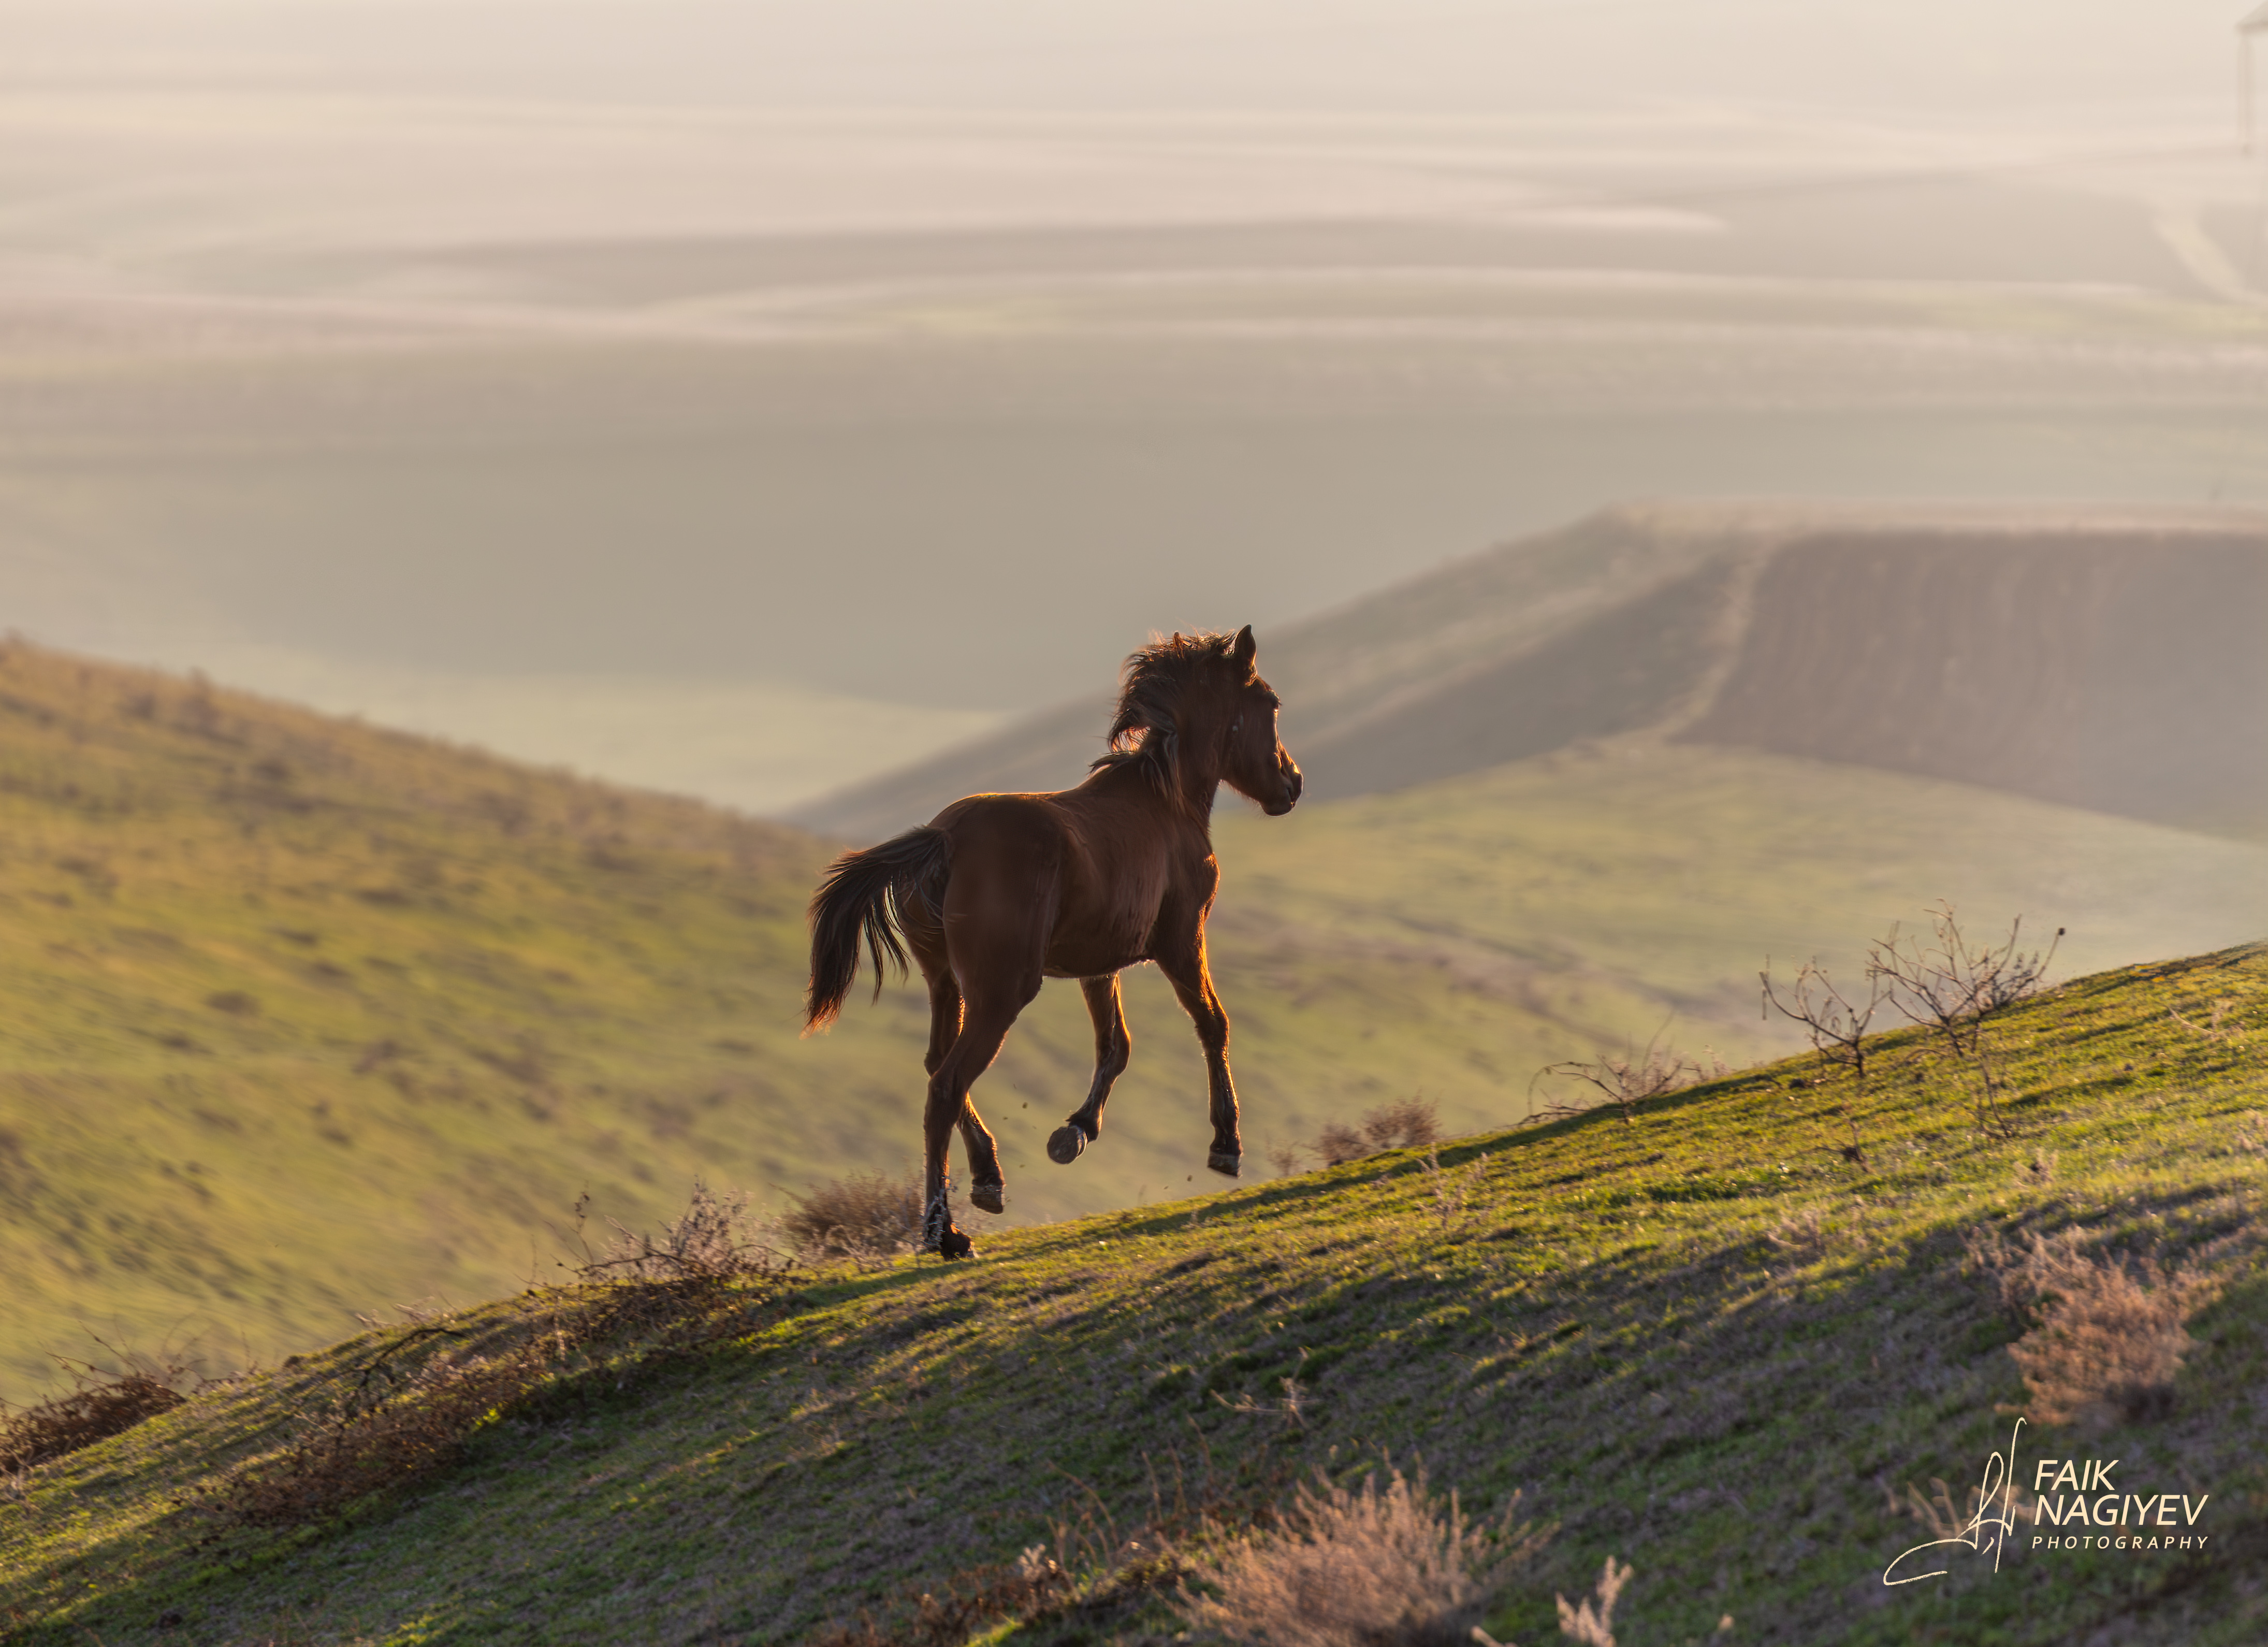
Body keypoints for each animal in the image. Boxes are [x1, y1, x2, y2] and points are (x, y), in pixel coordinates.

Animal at [803, 626, 1306, 1261]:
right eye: (1270, 702)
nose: (1293, 783)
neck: (1166, 803)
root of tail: (944, 837)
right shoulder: (1182, 941)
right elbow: (1212, 1023)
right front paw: (1226, 1145)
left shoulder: (1100, 965)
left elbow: (1115, 1046)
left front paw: (1075, 1132)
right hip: (1001, 993)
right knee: (946, 1085)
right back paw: (947, 1232)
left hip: (946, 983)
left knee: (937, 1064)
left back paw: (989, 1181)